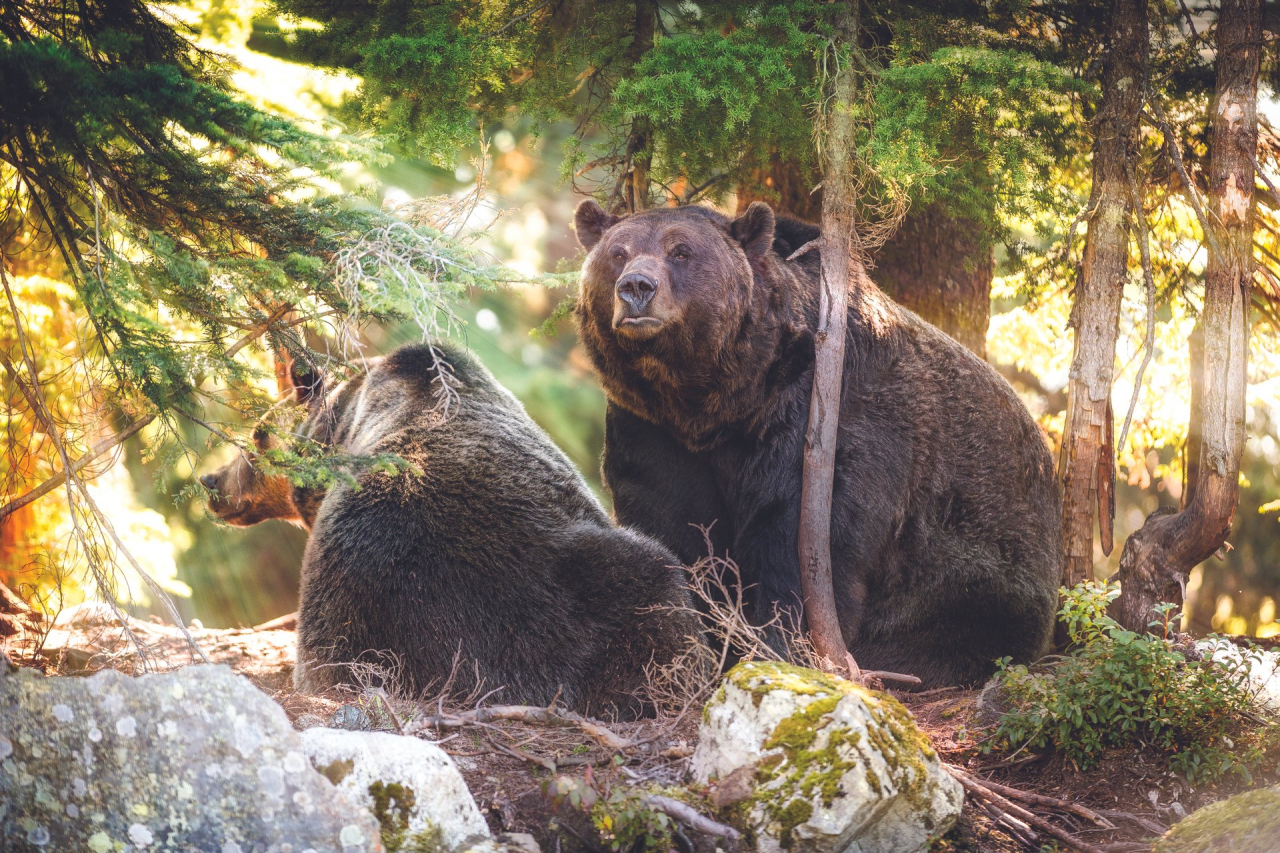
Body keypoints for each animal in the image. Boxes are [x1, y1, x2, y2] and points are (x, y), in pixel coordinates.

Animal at [573, 197, 1059, 686]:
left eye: (681, 251)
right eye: (618, 252)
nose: (636, 286)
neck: (718, 401)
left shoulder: (820, 416)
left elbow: (800, 538)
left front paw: (781, 645)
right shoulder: (652, 428)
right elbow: (671, 524)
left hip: (975, 556)